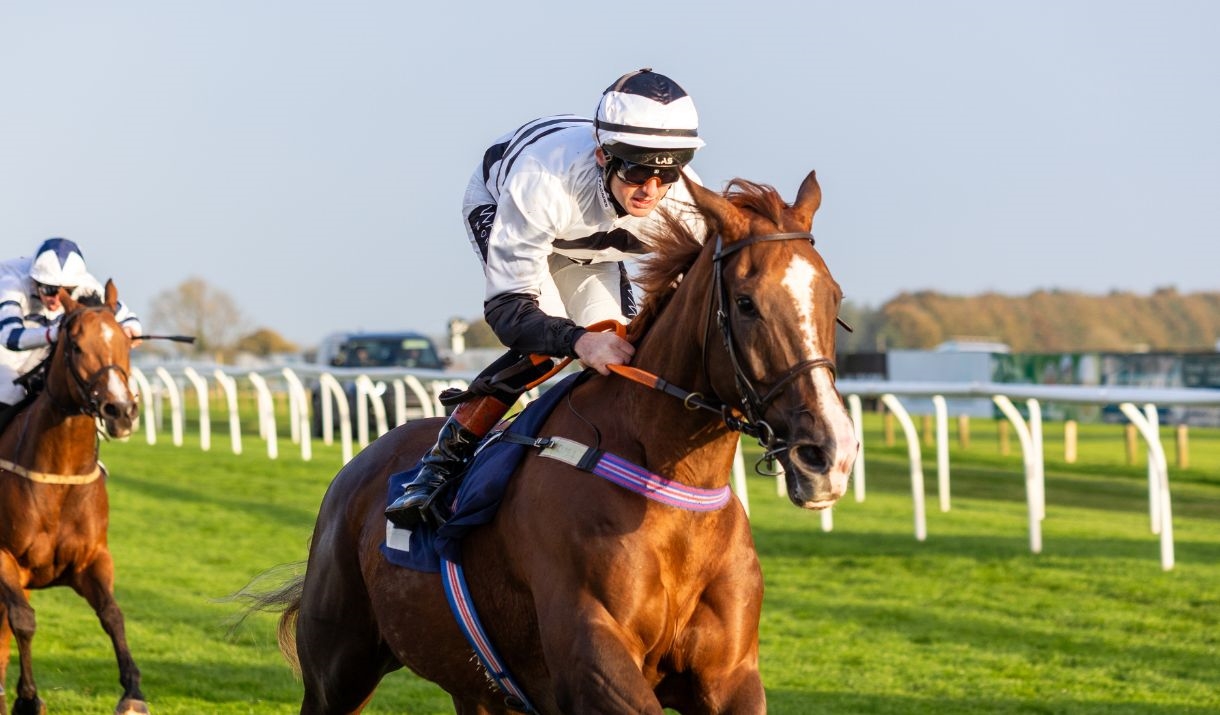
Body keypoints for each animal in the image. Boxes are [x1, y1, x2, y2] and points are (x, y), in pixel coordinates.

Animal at [0, 280, 146, 712]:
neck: (60, 479)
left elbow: (113, 614)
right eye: (76, 346)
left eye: (126, 343)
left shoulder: (92, 560)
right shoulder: (5, 559)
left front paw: (133, 692)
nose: (120, 411)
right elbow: (24, 621)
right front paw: (28, 697)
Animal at [270, 169, 858, 707]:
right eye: (745, 303)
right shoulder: (592, 661)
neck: (671, 486)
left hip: (474, 688)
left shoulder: (730, 673)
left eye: (834, 298)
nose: (828, 453)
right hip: (339, 668)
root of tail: (359, 464)